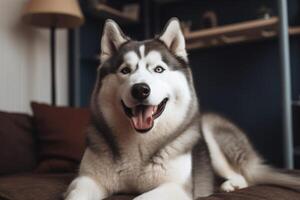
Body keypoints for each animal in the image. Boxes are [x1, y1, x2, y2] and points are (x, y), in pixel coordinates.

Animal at [64, 18, 298, 199]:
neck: (139, 145)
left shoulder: (176, 187)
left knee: (245, 176)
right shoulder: (86, 180)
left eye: (159, 69)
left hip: (210, 131)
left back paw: (230, 184)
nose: (140, 90)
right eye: (125, 70)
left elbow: (142, 197)